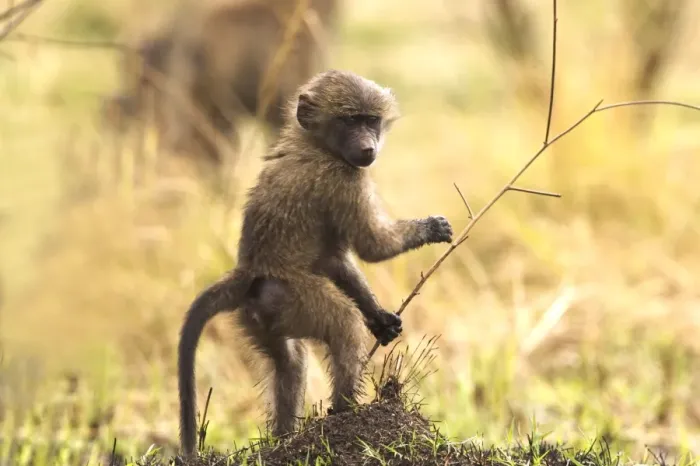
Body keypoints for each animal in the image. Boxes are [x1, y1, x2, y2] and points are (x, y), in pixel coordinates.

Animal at [177, 69, 454, 457]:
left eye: (371, 120)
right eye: (350, 120)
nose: (368, 148)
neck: (316, 144)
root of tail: (250, 271)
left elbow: (334, 259)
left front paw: (380, 319)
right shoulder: (344, 179)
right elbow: (373, 247)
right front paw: (432, 227)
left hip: (262, 316)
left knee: (290, 362)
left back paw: (283, 440)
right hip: (294, 297)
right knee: (343, 324)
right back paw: (345, 413)